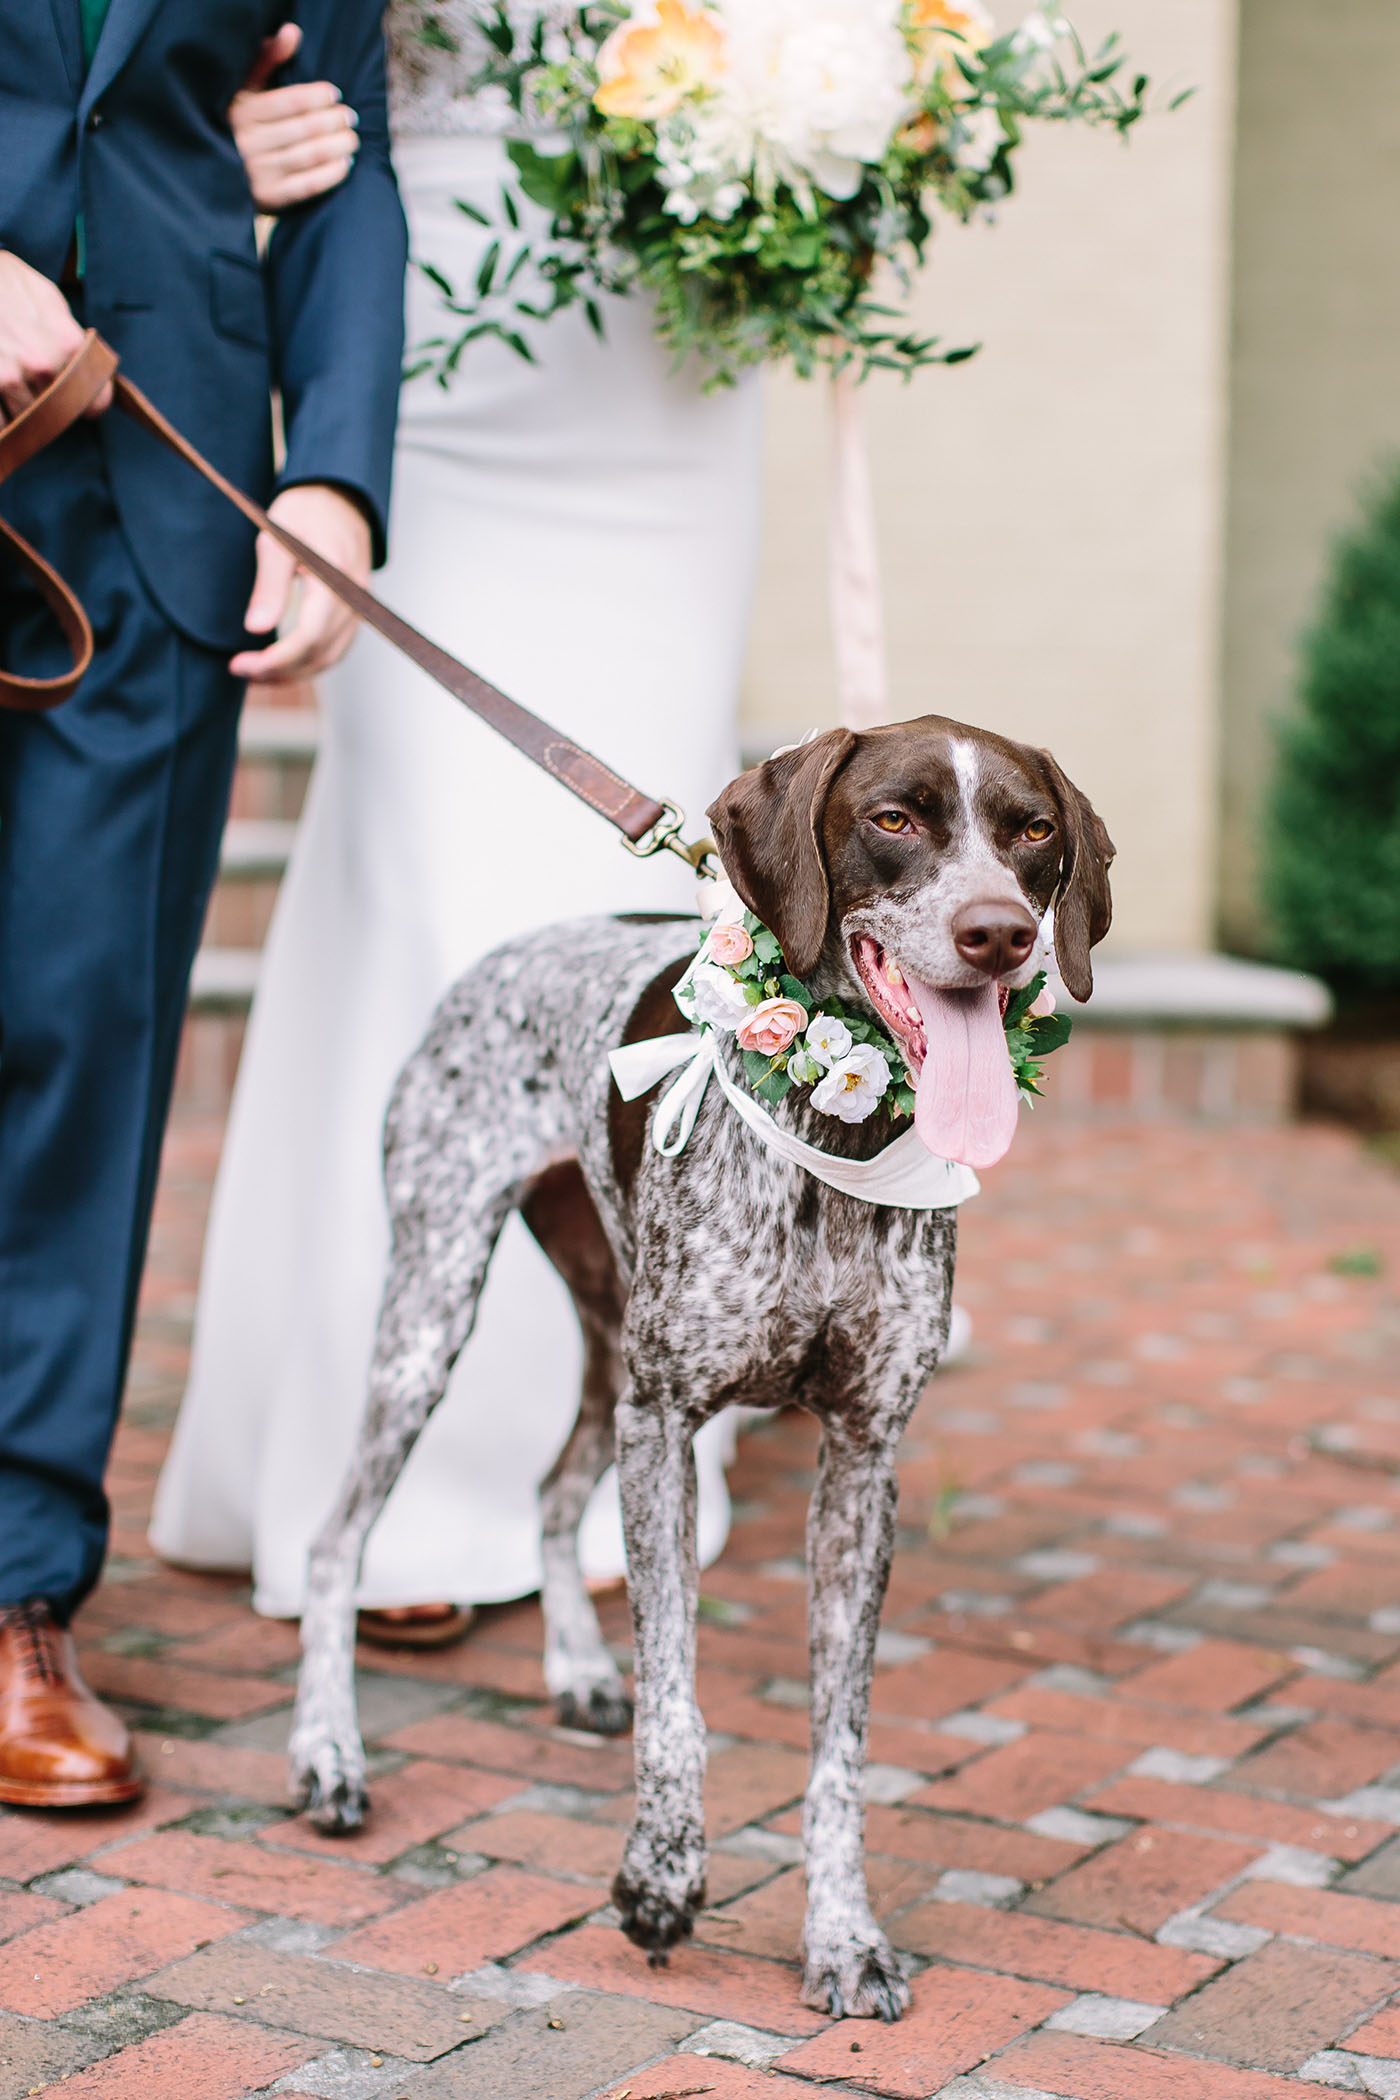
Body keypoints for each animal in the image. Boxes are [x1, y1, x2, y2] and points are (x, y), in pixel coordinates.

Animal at [289, 718, 1108, 2015]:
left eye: (1030, 831)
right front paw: (661, 1877)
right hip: (433, 1307)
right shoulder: (667, 1419)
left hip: (602, 1332)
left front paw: (842, 1936)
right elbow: (676, 1697)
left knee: (548, 1491)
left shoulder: (860, 1463)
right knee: (334, 1544)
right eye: (892, 818)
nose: (999, 933)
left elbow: (838, 1748)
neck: (838, 1143)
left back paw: (574, 1668)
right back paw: (327, 1756)